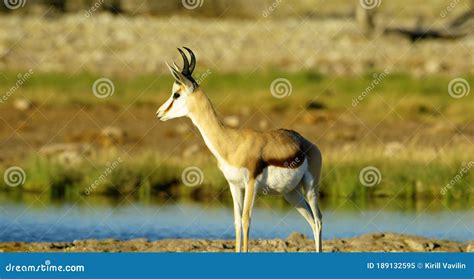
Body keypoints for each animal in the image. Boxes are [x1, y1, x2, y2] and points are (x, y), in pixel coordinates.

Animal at [156, 48, 322, 254]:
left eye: (176, 94)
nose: (159, 113)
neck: (231, 143)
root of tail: (308, 144)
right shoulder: (234, 185)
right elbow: (236, 222)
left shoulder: (251, 184)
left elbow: (245, 220)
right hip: (291, 193)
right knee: (311, 220)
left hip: (311, 188)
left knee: (318, 219)